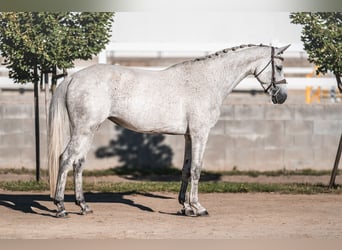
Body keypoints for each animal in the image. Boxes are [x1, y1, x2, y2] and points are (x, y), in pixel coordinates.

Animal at [48, 44, 288, 218]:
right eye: (279, 67)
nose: (282, 96)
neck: (208, 80)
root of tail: (74, 77)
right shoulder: (200, 134)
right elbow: (196, 170)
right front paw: (198, 207)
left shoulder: (189, 136)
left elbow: (186, 169)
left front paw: (186, 207)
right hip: (84, 130)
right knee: (66, 159)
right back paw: (60, 207)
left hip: (89, 130)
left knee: (78, 163)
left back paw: (83, 206)